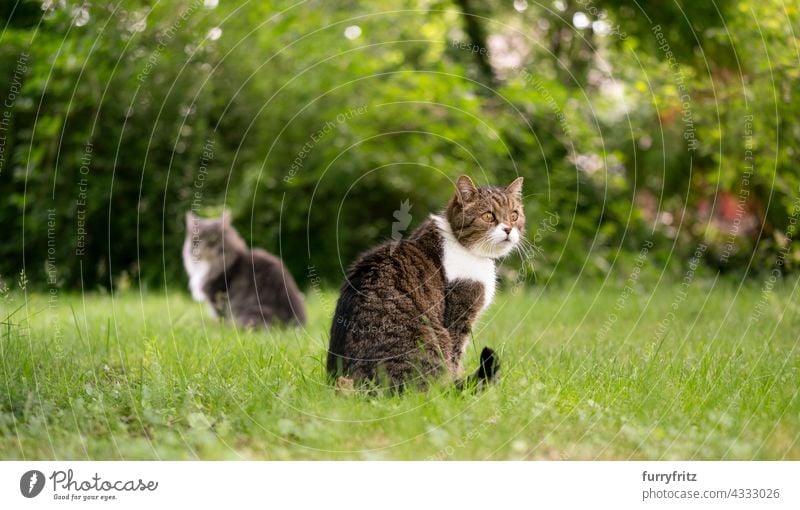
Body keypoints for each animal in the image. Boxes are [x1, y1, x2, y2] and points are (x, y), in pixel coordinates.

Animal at [326, 176, 524, 390]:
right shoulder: (459, 315)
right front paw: (456, 385)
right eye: (488, 216)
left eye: (514, 215)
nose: (508, 228)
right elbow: (456, 357)